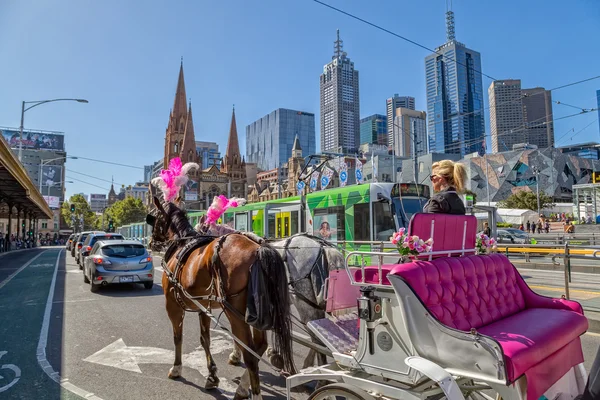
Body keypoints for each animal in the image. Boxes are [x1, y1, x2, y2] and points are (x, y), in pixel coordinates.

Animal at [145, 197, 296, 400]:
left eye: (154, 217)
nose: (150, 242)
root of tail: (259, 249)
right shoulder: (203, 306)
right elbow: (205, 339)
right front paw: (212, 375)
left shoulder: (172, 305)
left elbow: (178, 337)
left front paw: (177, 368)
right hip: (258, 312)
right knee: (259, 346)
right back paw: (243, 385)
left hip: (236, 311)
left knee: (250, 355)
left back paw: (250, 391)